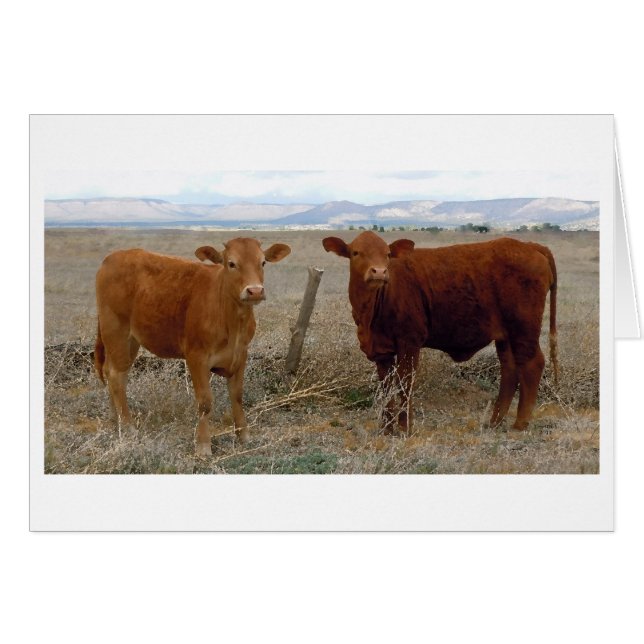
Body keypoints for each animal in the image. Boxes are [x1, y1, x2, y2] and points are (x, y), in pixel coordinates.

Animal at [94, 237, 291, 456]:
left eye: (263, 262)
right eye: (231, 263)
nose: (255, 291)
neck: (232, 322)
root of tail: (112, 257)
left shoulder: (241, 355)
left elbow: (237, 396)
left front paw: (244, 436)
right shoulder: (197, 357)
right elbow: (205, 402)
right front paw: (203, 446)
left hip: (129, 341)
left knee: (113, 373)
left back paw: (116, 422)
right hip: (116, 331)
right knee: (116, 377)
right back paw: (128, 427)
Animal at [322, 231, 558, 433]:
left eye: (387, 254)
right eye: (356, 252)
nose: (379, 272)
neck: (371, 311)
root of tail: (530, 246)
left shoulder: (409, 342)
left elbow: (405, 382)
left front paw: (405, 428)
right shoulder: (381, 350)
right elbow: (387, 387)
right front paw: (386, 429)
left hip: (524, 329)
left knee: (532, 364)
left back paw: (520, 424)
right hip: (505, 336)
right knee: (509, 369)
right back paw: (495, 422)